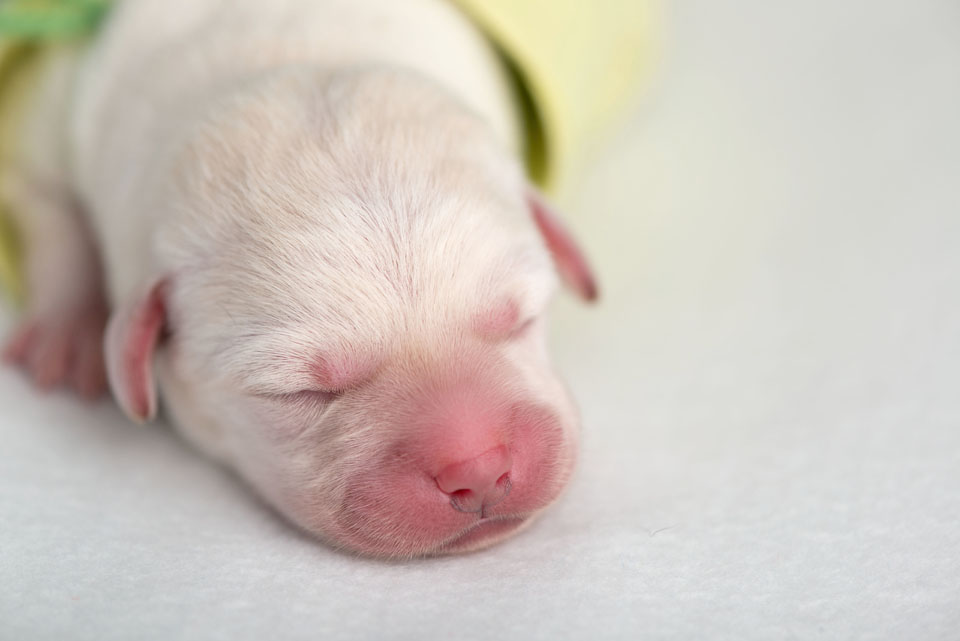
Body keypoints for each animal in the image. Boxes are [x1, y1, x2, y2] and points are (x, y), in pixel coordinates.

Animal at [3, 0, 596, 556]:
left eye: (519, 321)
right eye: (300, 392)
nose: (477, 468)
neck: (287, 47)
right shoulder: (68, 98)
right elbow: (43, 192)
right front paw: (70, 327)